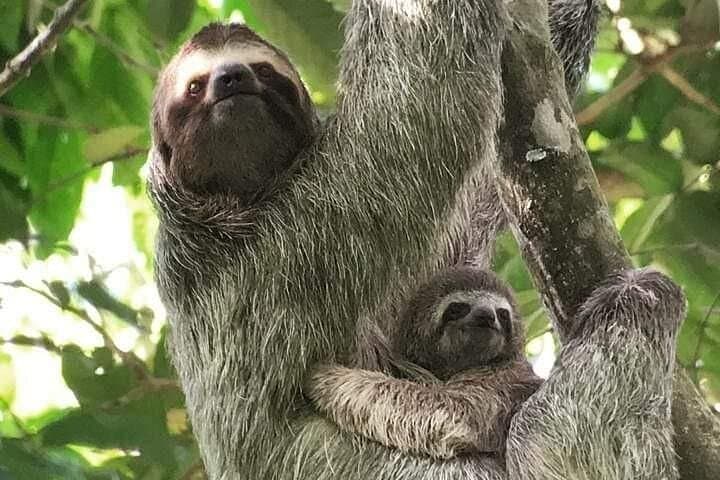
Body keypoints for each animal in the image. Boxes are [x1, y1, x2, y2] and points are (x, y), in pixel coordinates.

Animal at [306, 267, 543, 461]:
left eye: (502, 314)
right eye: (457, 308)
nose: (486, 315)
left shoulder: (501, 380)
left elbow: (454, 410)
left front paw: (324, 376)